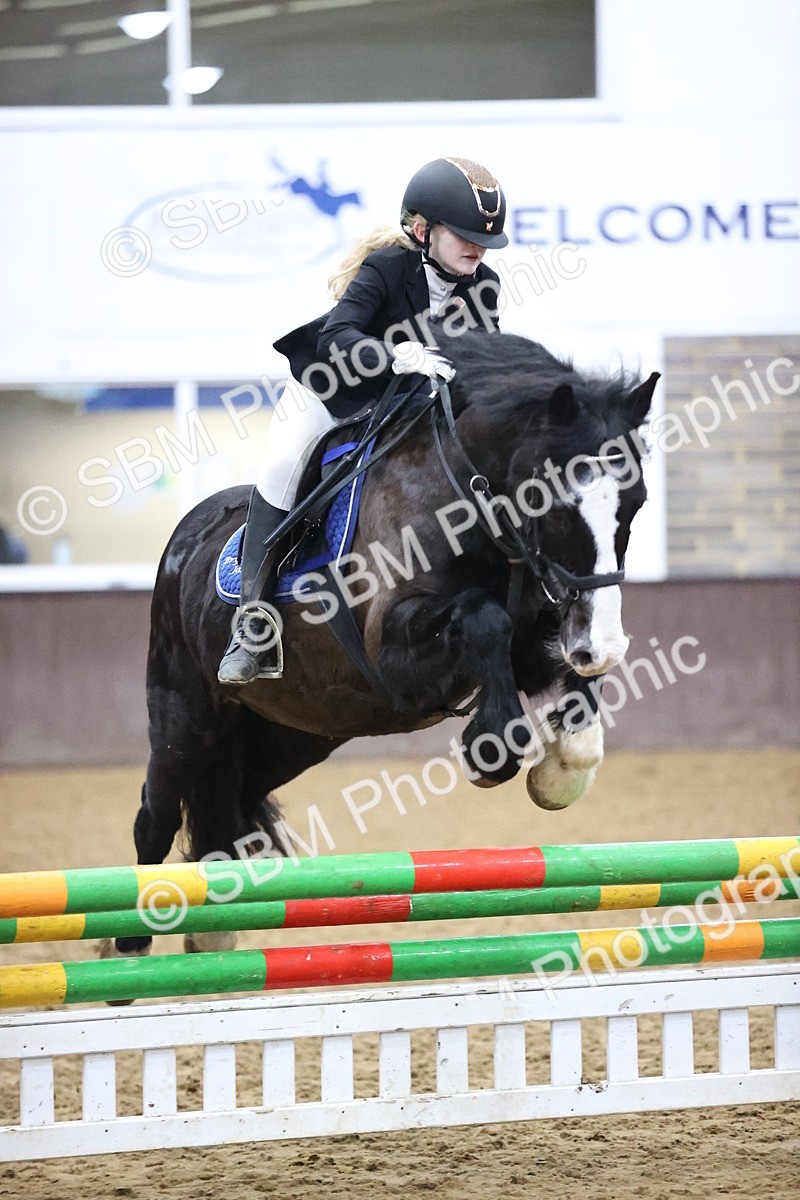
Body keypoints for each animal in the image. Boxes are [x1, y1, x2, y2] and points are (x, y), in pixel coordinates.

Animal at [108, 329, 658, 960]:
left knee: (232, 808)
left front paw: (559, 774)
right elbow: (484, 618)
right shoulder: (394, 657)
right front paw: (491, 746)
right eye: (556, 505)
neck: (466, 494)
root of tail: (187, 535)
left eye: (636, 503)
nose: (601, 644)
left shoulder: (538, 642)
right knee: (154, 815)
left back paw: (209, 933)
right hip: (184, 713)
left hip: (294, 732)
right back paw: (129, 946)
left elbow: (571, 701)